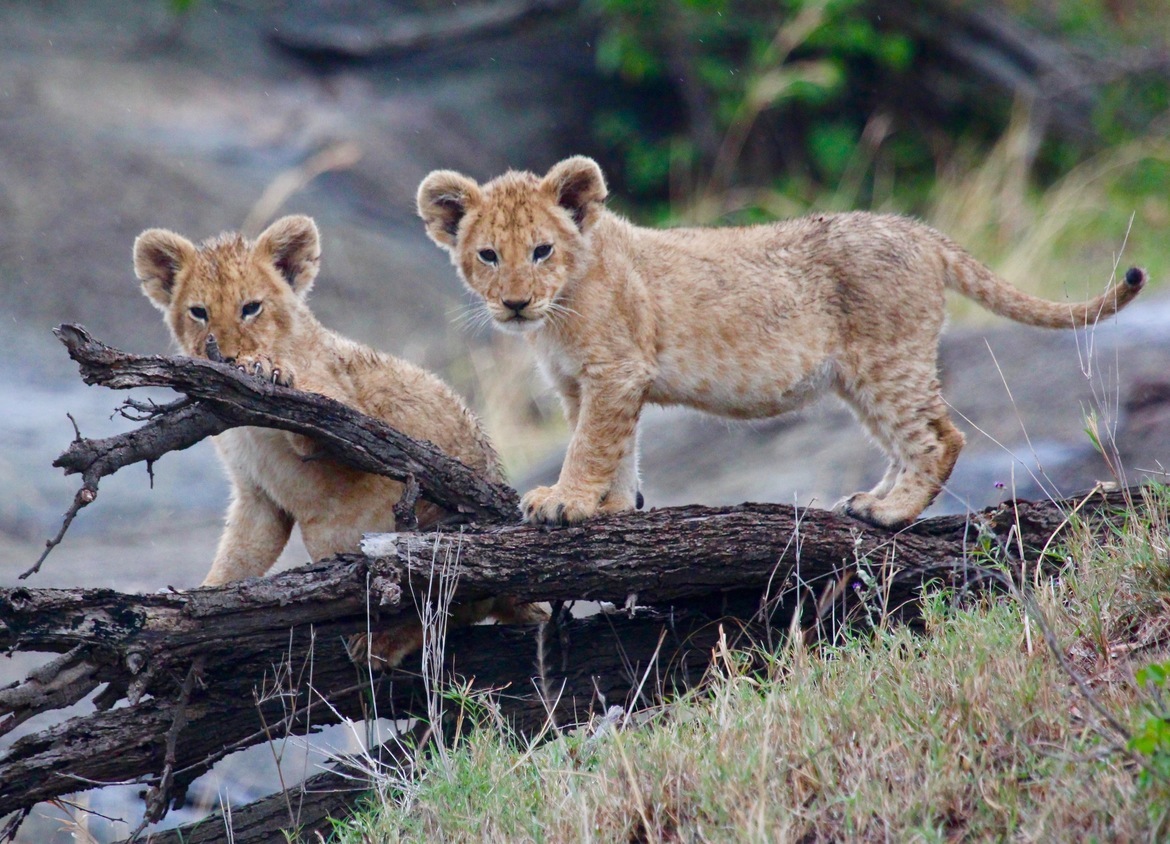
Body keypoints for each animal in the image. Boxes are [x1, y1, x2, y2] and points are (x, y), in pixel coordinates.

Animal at [134, 215, 543, 666]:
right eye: (199, 312)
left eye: (251, 308)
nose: (223, 356)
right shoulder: (256, 497)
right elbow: (237, 557)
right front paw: (190, 606)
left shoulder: (349, 415)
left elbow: (322, 409)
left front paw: (268, 370)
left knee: (449, 601)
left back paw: (379, 642)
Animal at [417, 156, 1146, 529]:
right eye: (487, 255)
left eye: (542, 250)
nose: (514, 302)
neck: (560, 307)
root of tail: (919, 231)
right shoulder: (586, 385)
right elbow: (615, 448)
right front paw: (614, 507)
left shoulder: (614, 372)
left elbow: (591, 446)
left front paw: (564, 502)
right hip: (861, 377)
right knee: (906, 441)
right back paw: (870, 501)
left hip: (887, 358)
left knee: (941, 437)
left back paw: (891, 513)